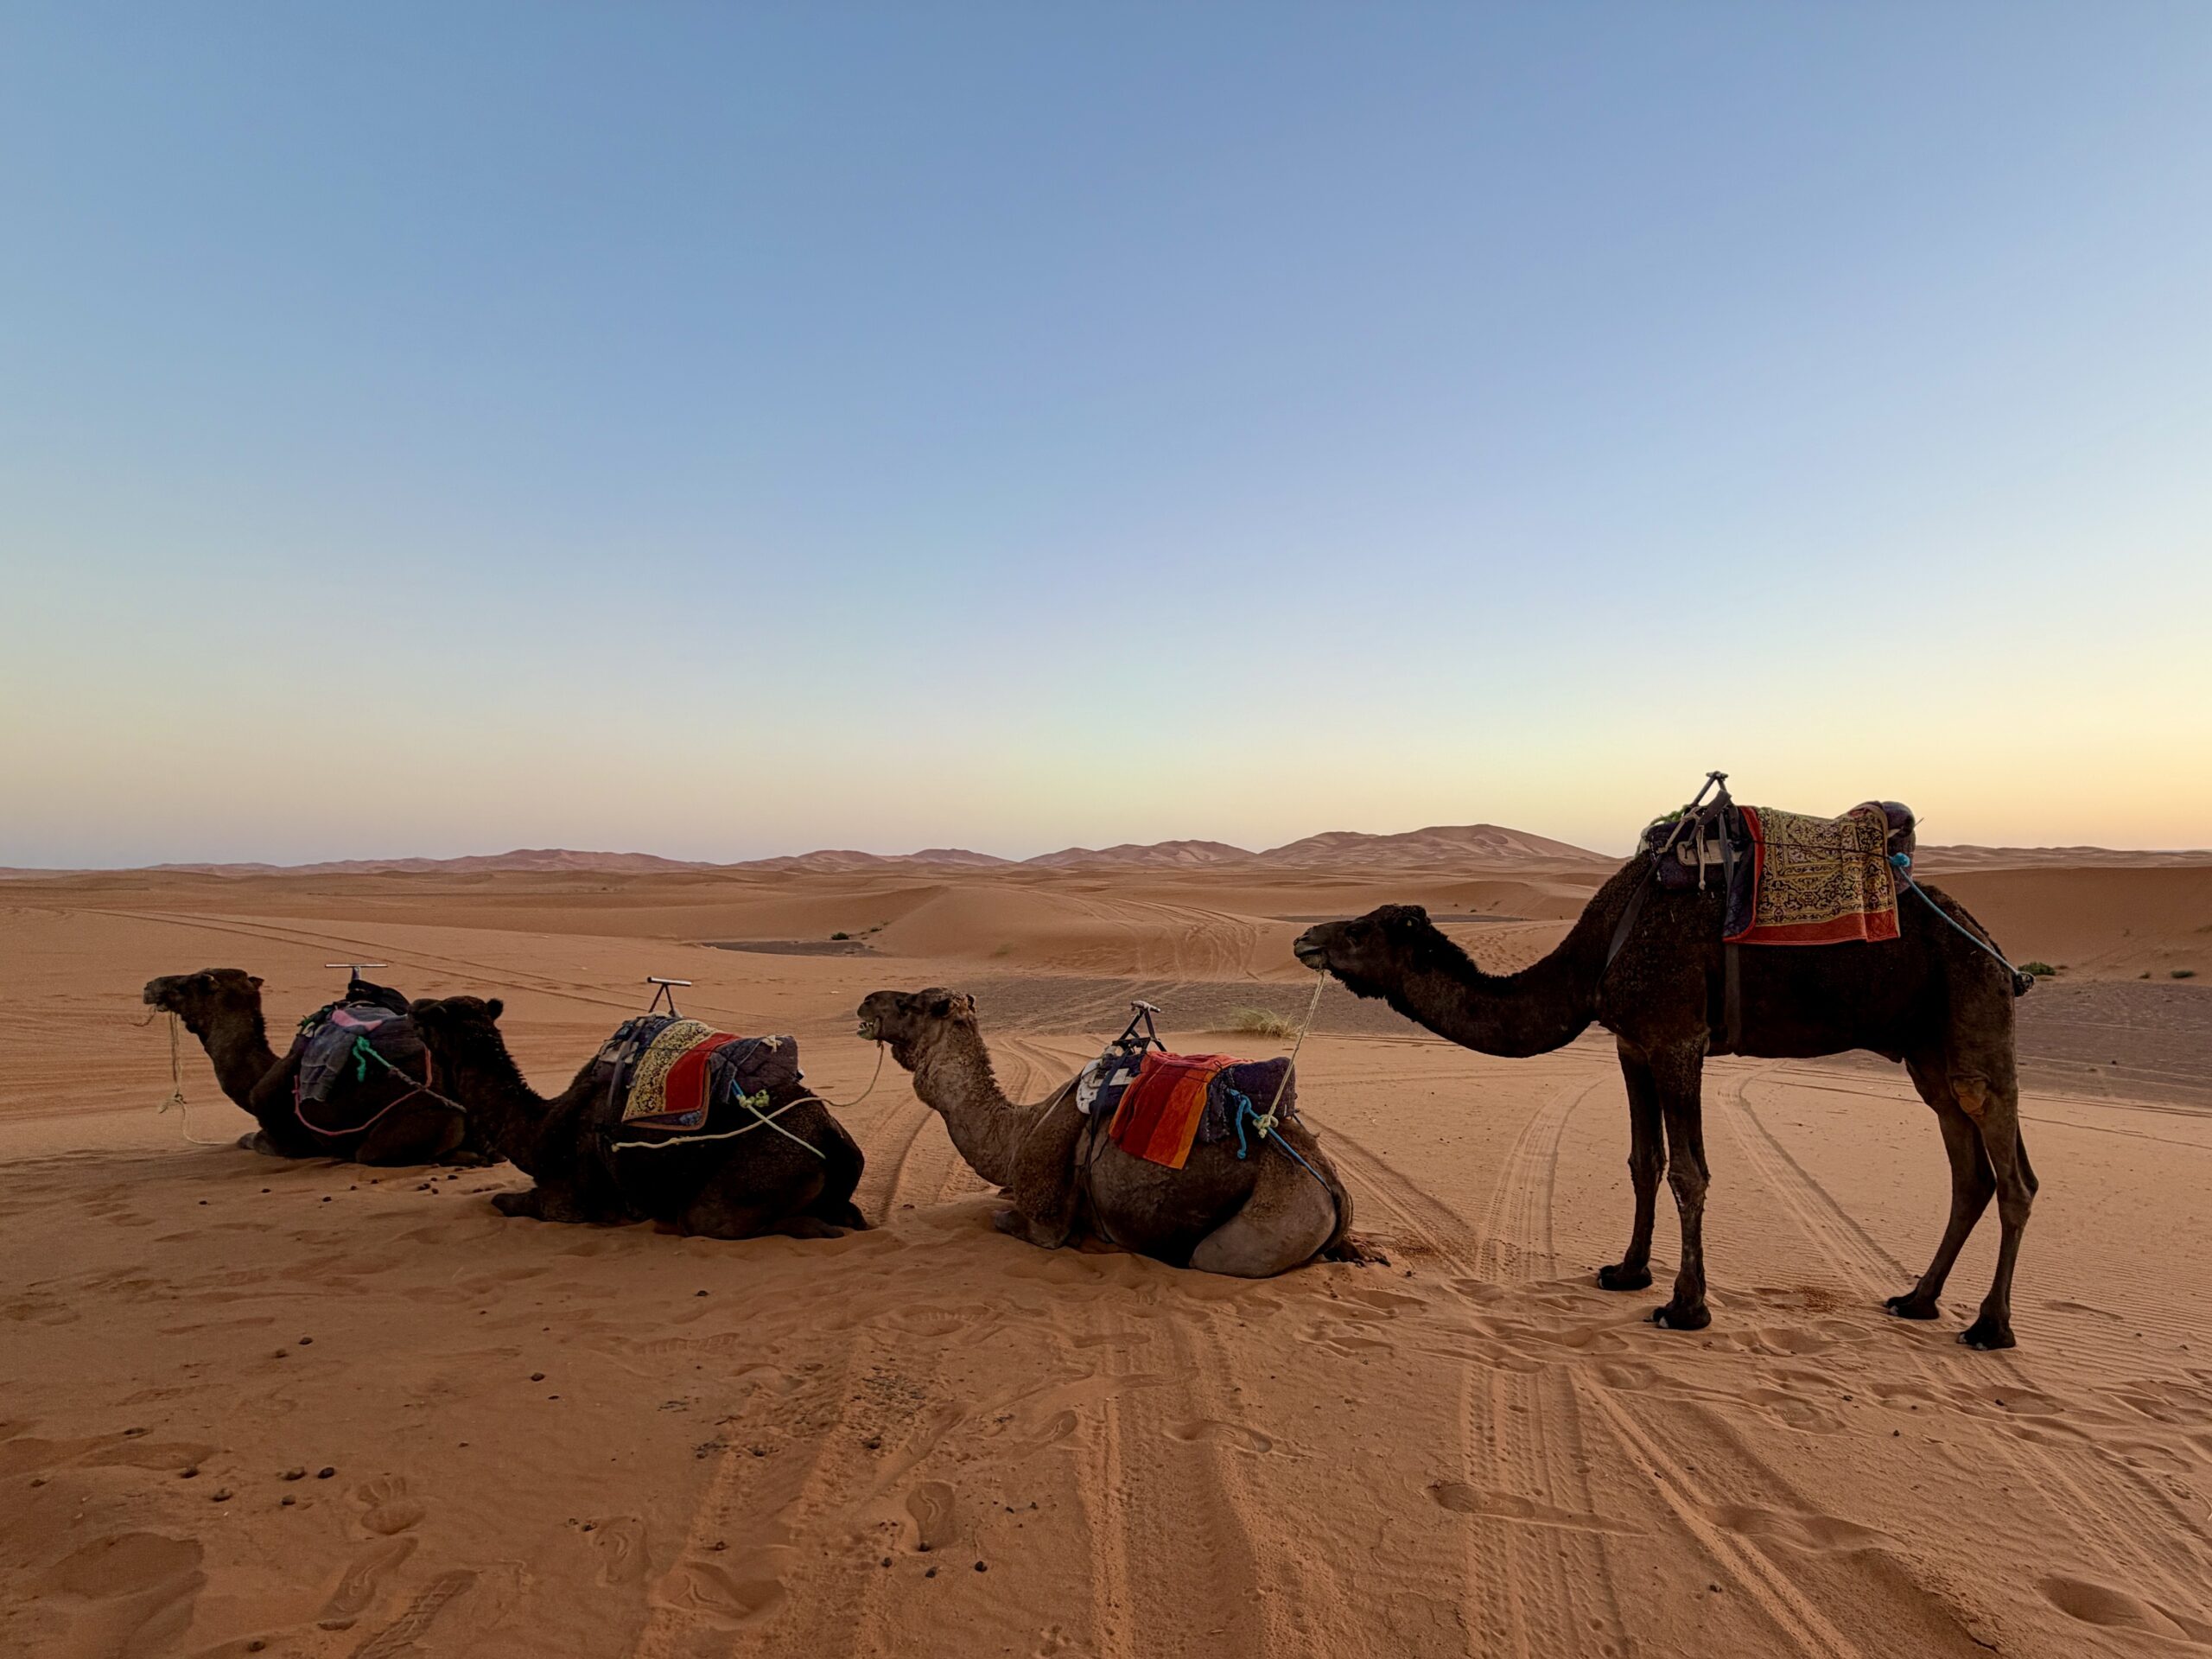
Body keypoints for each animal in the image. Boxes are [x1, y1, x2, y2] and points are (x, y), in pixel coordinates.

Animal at [142, 969, 481, 1166]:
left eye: (185, 984)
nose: (149, 985)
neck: (255, 1083)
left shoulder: (285, 1140)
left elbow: (250, 1139)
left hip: (426, 1124)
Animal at [406, 995, 867, 1238]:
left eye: (432, 1016)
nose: (414, 1005)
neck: (539, 1132)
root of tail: (833, 1137)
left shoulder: (568, 1202)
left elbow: (501, 1201)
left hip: (749, 1185)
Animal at [856, 988, 1365, 1277]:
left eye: (908, 1004)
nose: (865, 1000)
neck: (1017, 1131)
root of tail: (1333, 1186)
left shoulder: (1045, 1222)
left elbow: (1010, 1221)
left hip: (1275, 1223)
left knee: (1209, 1258)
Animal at [1293, 860, 2035, 1348]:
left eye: (1360, 931)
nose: (1305, 939)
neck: (1595, 957)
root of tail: (1998, 948)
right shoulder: (1632, 1043)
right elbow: (1642, 1161)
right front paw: (1627, 1272)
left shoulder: (1678, 1036)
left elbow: (1688, 1172)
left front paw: (1686, 1306)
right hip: (1925, 1051)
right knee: (1969, 1172)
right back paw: (1917, 1300)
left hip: (1973, 1018)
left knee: (2014, 1174)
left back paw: (1990, 1326)